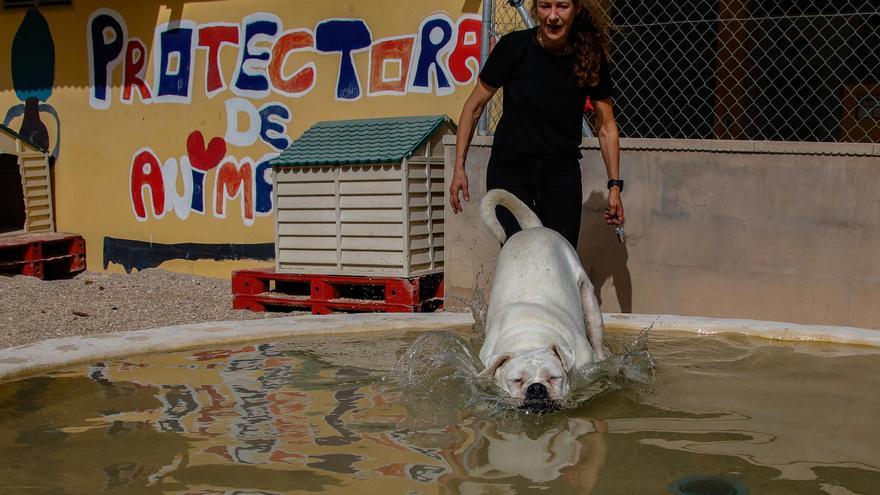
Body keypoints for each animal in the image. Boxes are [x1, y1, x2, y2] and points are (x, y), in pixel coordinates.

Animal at [478, 188, 608, 408]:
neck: (530, 336)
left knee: (595, 330)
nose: (536, 387)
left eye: (554, 377)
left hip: (587, 295)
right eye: (517, 380)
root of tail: (533, 228)